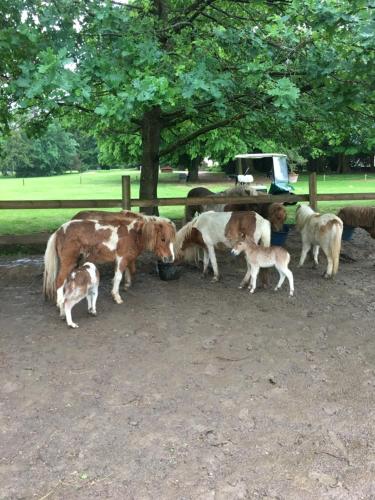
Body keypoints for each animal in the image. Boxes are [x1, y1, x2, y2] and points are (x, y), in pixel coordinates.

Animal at [43, 216, 176, 306]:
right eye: (163, 239)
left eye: (172, 239)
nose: (170, 258)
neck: (133, 233)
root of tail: (59, 231)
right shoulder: (121, 259)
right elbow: (118, 277)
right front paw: (116, 296)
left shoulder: (125, 259)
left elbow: (129, 271)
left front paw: (126, 285)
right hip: (68, 262)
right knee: (59, 280)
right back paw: (60, 302)